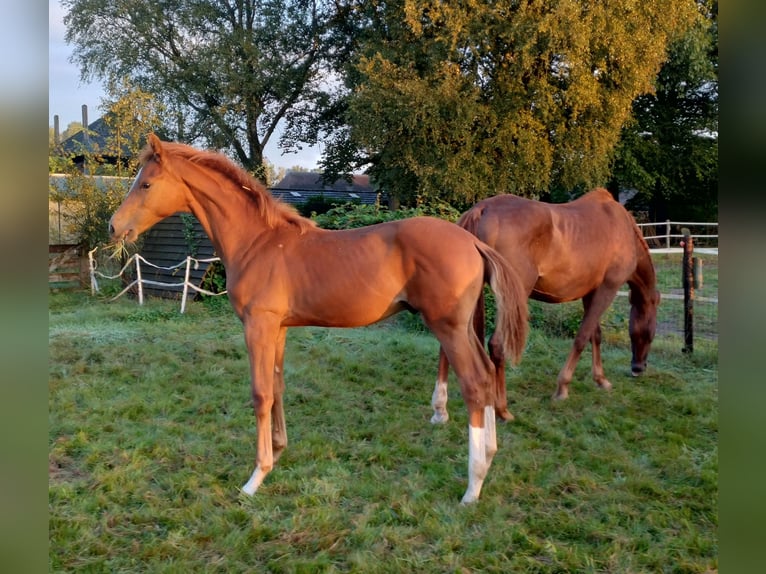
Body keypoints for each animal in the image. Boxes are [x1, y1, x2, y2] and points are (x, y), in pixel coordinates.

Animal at [109, 135, 528, 504]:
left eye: (146, 183)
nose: (114, 227)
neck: (258, 242)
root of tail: (472, 241)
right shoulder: (278, 329)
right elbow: (277, 387)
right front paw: (278, 452)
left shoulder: (258, 326)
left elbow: (260, 393)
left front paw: (255, 477)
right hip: (463, 327)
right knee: (487, 375)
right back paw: (490, 457)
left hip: (449, 327)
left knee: (474, 384)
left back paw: (473, 486)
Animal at [432, 191, 660, 426]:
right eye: (651, 333)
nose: (638, 368)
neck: (624, 229)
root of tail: (482, 209)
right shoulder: (607, 288)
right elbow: (582, 337)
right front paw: (562, 388)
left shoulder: (591, 293)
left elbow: (595, 335)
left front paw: (600, 379)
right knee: (497, 345)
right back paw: (502, 410)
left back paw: (441, 409)